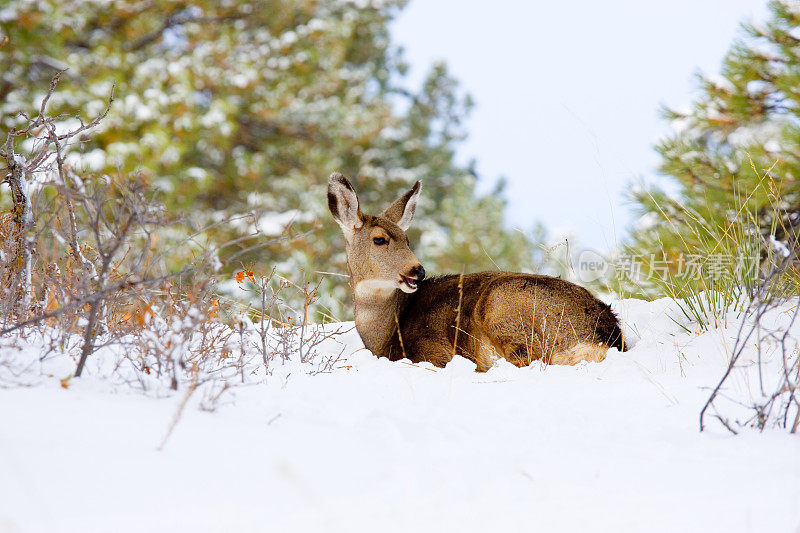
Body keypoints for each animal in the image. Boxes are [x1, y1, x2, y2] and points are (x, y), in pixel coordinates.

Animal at [324, 171, 624, 370]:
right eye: (379, 239)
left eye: (407, 240)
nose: (417, 271)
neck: (386, 334)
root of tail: (607, 336)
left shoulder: (435, 352)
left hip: (503, 306)